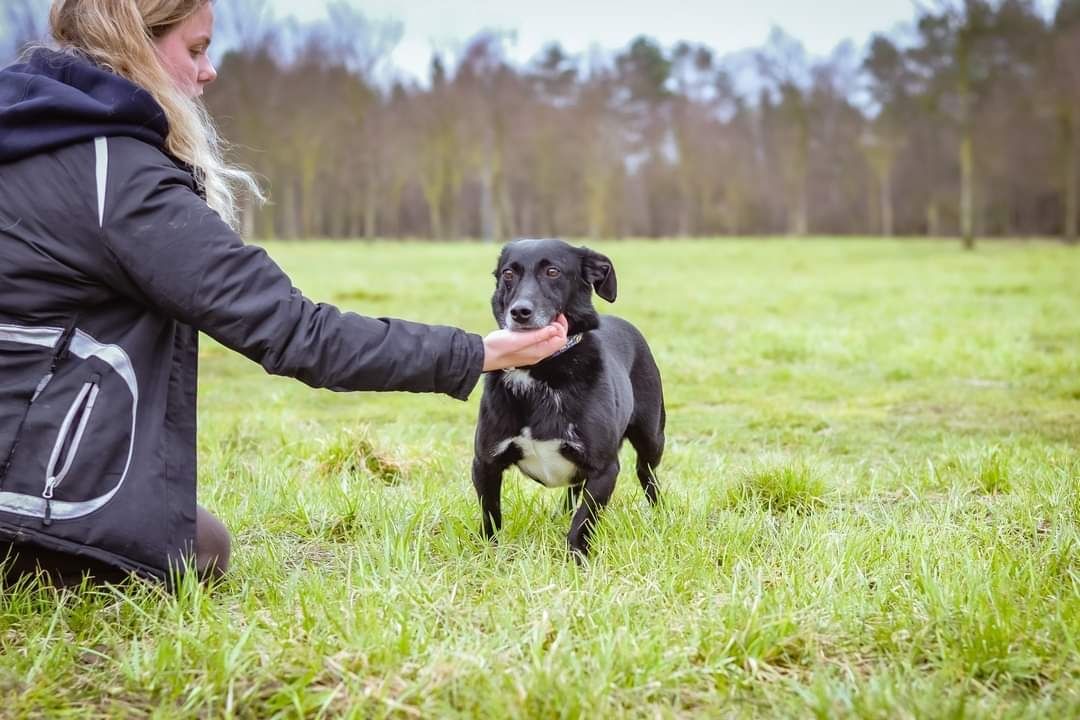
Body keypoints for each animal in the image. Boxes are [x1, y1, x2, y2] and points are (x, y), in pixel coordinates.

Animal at [475, 239, 665, 561]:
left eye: (553, 271)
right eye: (508, 274)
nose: (520, 311)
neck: (540, 371)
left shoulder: (604, 470)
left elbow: (583, 522)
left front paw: (577, 560)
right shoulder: (484, 463)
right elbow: (490, 516)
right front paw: (489, 555)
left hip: (652, 437)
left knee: (647, 475)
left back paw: (661, 515)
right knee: (574, 489)